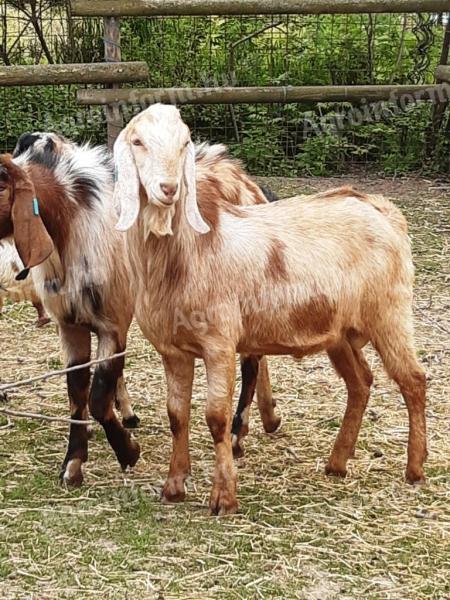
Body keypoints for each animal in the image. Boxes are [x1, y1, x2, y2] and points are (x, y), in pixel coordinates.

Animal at [111, 103, 426, 516]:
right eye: (138, 141)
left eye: (184, 143)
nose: (168, 188)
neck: (188, 252)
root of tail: (380, 208)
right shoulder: (172, 349)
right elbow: (177, 415)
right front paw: (174, 486)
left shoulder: (220, 343)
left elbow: (216, 417)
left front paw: (224, 498)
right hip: (340, 331)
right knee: (361, 383)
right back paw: (337, 462)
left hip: (389, 312)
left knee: (413, 381)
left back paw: (415, 468)